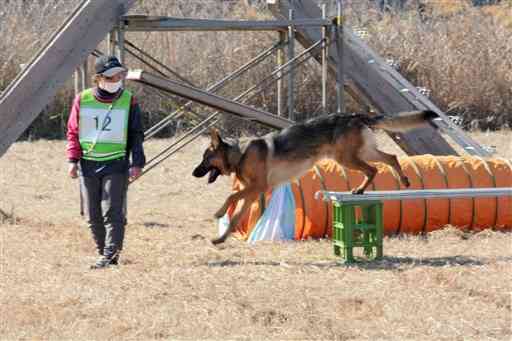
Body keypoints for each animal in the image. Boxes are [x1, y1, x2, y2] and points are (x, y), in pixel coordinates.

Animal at [192, 110, 436, 243]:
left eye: (205, 159)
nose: (194, 173)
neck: (239, 154)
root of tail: (355, 115)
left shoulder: (257, 187)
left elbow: (231, 197)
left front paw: (219, 212)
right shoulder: (252, 193)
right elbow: (235, 217)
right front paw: (220, 239)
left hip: (347, 158)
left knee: (373, 169)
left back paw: (361, 189)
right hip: (362, 153)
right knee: (390, 158)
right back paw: (400, 181)